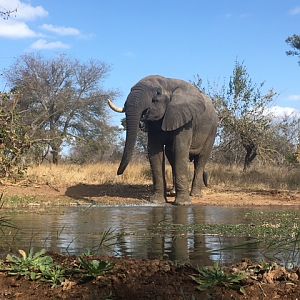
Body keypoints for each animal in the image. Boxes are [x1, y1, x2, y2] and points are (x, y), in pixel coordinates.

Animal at [108, 75, 218, 206]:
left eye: (158, 93)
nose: (118, 173)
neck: (168, 82)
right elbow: (155, 151)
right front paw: (157, 201)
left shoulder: (186, 119)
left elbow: (180, 148)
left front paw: (182, 204)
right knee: (172, 156)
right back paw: (173, 193)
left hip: (212, 130)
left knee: (201, 160)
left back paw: (195, 194)